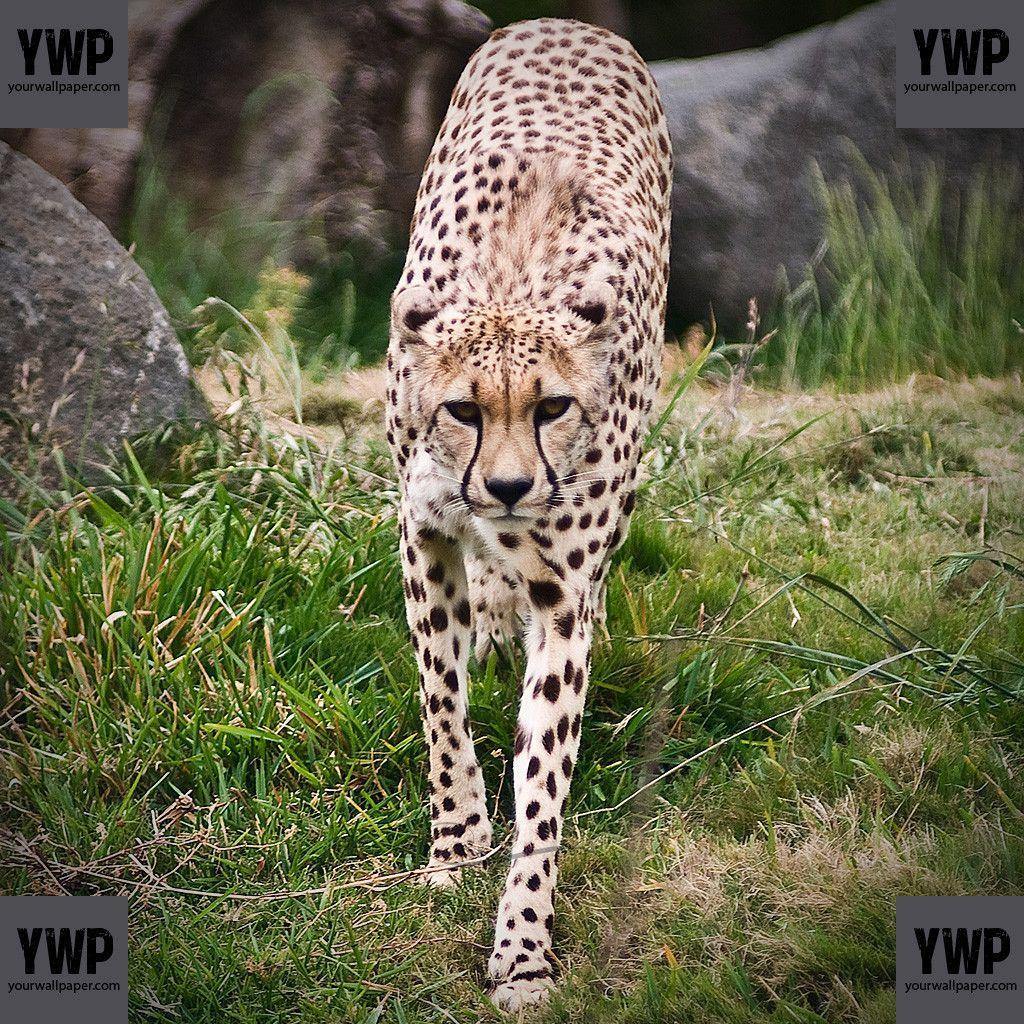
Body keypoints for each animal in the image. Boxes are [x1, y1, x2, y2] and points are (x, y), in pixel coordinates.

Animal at [384, 16, 671, 1011]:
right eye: (463, 411)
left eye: (552, 407)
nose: (508, 488)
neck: (514, 279)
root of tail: (569, 20)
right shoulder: (426, 529)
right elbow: (440, 701)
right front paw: (455, 843)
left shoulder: (565, 595)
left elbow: (544, 781)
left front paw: (523, 950)